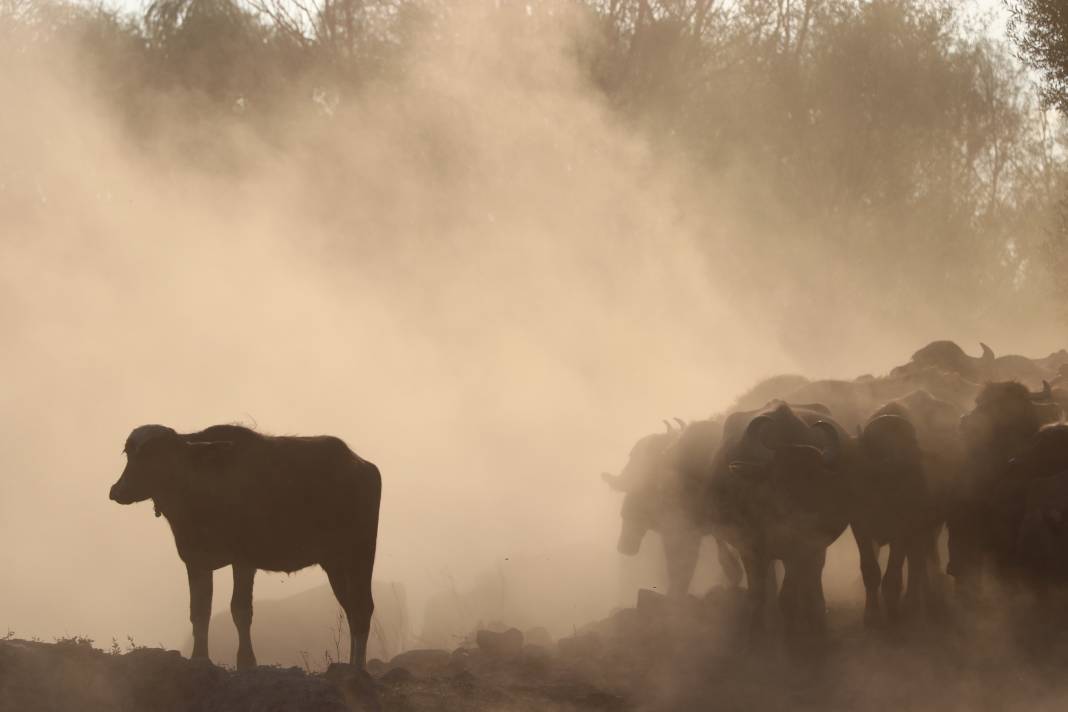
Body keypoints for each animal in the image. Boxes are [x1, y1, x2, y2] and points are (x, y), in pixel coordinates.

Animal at [108, 426, 382, 670]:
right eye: (129, 452)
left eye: (156, 453)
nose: (119, 491)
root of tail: (361, 465)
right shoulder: (195, 560)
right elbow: (199, 611)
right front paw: (199, 658)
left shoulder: (244, 559)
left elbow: (240, 610)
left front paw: (246, 661)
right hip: (334, 562)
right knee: (351, 608)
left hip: (361, 553)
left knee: (363, 608)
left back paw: (358, 669)